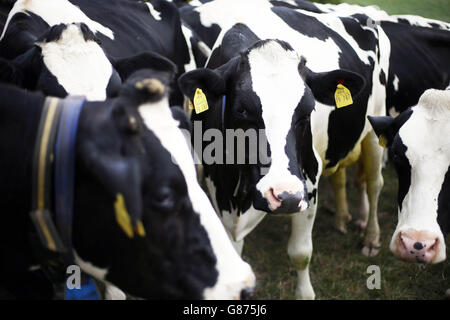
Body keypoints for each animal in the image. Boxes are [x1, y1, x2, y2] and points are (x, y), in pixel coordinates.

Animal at [178, 0, 388, 300]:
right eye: (242, 110)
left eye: (307, 111)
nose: (284, 195)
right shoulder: (216, 185)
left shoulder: (308, 181)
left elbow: (300, 253)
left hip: (374, 126)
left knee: (373, 183)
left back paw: (370, 236)